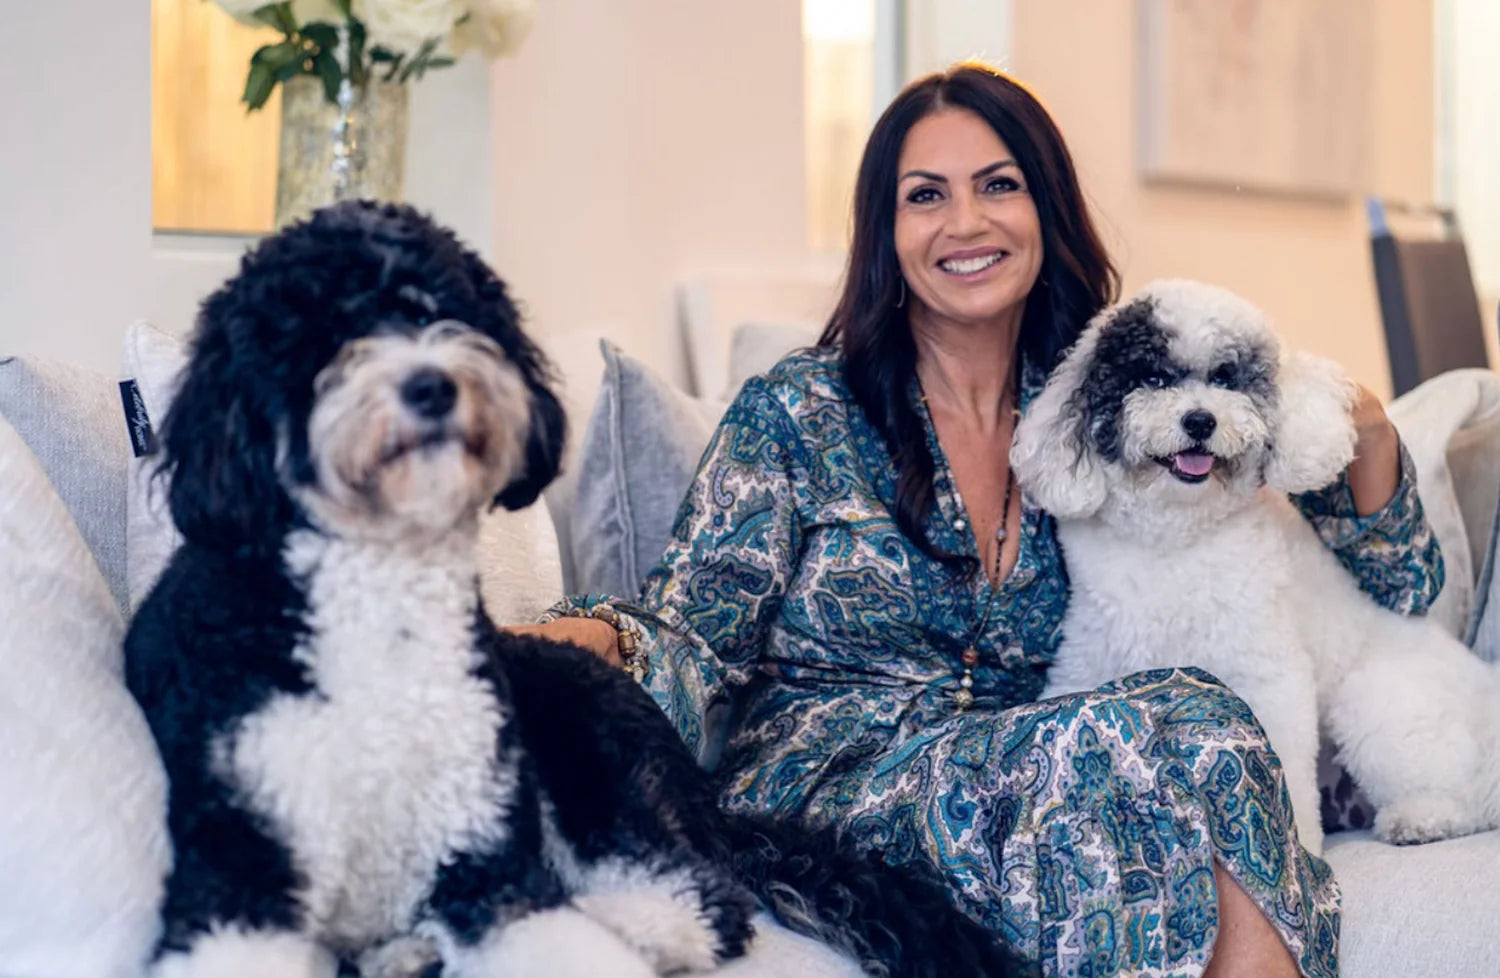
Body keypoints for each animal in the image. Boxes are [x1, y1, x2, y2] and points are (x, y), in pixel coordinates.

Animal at [123, 201, 1018, 978]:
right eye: (324, 335)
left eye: (444, 310)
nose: (431, 386)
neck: (380, 597)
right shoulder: (236, 874)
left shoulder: (493, 857)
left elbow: (552, 930)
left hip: (590, 753)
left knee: (692, 901)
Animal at [1011, 278, 1500, 855]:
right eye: (1152, 378)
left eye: (1226, 377)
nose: (1200, 420)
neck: (1174, 542)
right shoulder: (1087, 663)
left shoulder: (1266, 677)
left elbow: (1283, 766)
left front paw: (1297, 847)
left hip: (1377, 706)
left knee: (1468, 797)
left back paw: (1422, 818)